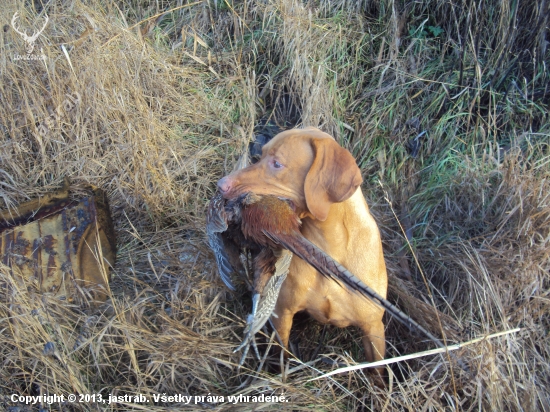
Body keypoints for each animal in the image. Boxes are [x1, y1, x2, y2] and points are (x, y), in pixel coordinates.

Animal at [218, 126, 390, 364]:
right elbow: (283, 355)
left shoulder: (373, 328)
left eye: (277, 163)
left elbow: (378, 370)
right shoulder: (281, 313)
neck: (329, 249)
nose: (221, 185)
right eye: (260, 156)